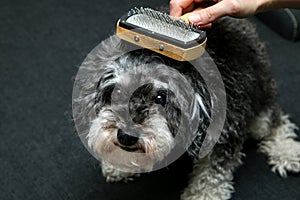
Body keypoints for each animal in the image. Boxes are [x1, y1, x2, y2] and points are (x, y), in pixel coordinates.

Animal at [74, 16, 300, 200]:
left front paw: (203, 195)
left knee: (275, 122)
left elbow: (212, 174)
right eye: (117, 91)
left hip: (261, 103)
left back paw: (287, 151)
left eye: (160, 98)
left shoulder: (223, 132)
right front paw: (118, 165)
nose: (126, 137)